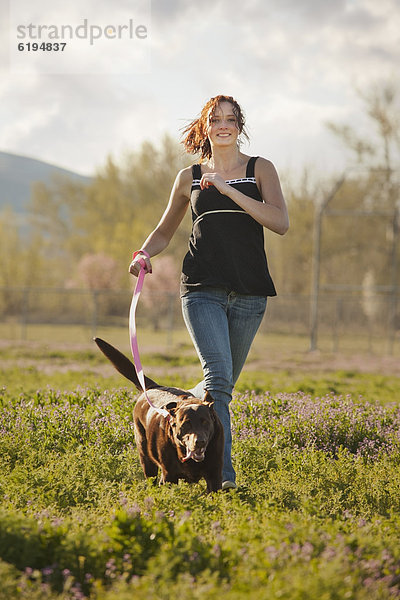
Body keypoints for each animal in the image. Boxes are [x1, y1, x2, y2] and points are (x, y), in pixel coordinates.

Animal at [94, 338, 225, 492]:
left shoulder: (214, 475)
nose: (200, 442)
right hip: (145, 457)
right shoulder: (168, 476)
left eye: (205, 422)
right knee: (151, 478)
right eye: (186, 424)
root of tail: (153, 387)